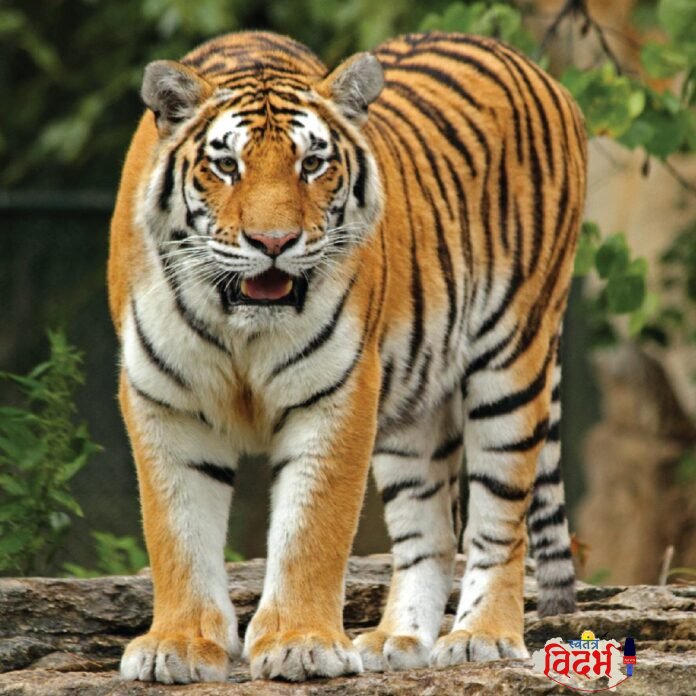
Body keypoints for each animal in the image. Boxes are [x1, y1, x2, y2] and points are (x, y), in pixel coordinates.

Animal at [108, 29, 586, 683]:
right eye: (226, 165)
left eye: (312, 163)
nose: (274, 243)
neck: (241, 327)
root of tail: (532, 66)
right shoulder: (163, 400)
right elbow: (176, 530)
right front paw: (177, 646)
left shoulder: (337, 392)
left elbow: (312, 529)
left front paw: (299, 644)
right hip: (413, 409)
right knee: (431, 532)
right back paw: (396, 640)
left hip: (513, 360)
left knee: (498, 521)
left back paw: (482, 637)